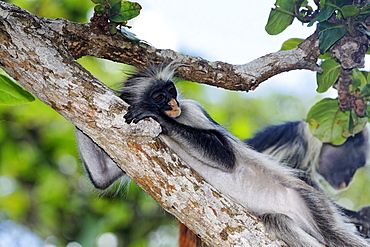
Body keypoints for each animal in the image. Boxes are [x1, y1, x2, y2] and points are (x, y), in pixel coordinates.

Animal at [76, 64, 370, 247]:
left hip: (311, 200)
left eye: (171, 91)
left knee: (333, 233)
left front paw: (159, 117)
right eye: (159, 95)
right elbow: (102, 178)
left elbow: (225, 157)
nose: (171, 104)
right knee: (279, 221)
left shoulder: (190, 110)